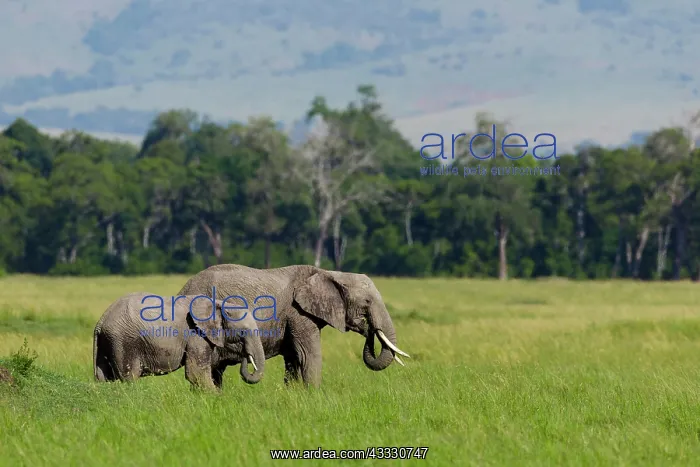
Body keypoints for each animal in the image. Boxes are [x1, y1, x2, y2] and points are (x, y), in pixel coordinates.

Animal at [93, 292, 266, 390]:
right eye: (242, 332)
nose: (246, 355)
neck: (220, 303)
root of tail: (100, 321)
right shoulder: (196, 334)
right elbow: (196, 373)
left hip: (107, 342)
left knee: (103, 376)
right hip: (123, 340)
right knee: (129, 377)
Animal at [176, 264, 410, 388]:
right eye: (367, 302)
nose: (368, 329)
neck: (328, 273)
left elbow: (294, 359)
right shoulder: (298, 313)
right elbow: (308, 355)